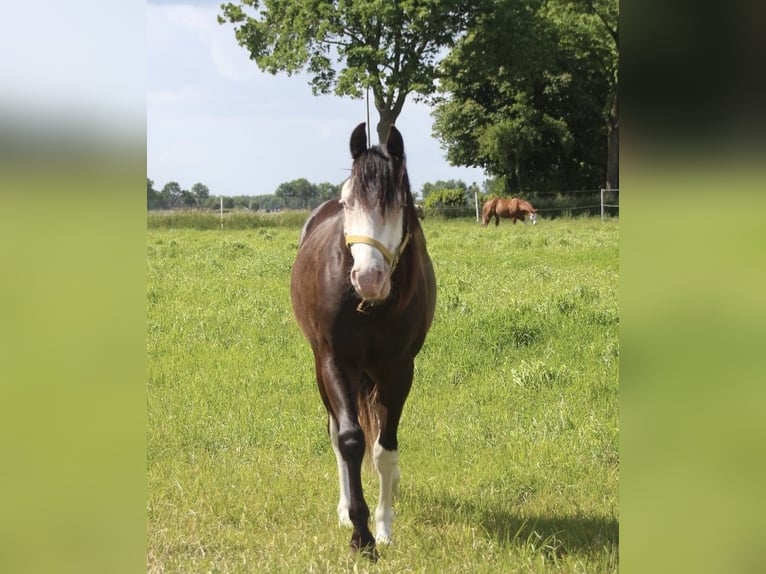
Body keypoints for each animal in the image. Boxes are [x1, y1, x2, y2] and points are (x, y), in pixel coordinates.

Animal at [290, 123, 436, 559]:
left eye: (400, 203)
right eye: (347, 200)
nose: (368, 278)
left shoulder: (399, 370)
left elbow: (385, 449)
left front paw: (384, 528)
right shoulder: (336, 363)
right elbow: (350, 439)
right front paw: (361, 534)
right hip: (321, 368)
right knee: (335, 432)